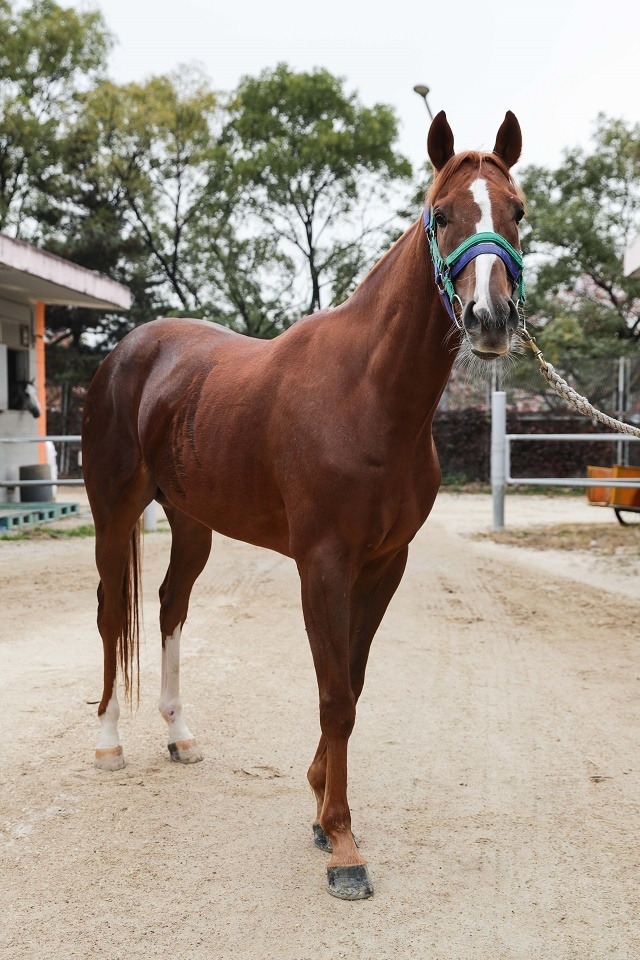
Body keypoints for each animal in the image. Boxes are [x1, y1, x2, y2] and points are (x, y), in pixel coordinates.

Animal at [81, 110, 524, 900]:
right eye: (442, 214)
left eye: (518, 212)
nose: (490, 318)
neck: (366, 395)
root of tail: (126, 354)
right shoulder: (322, 564)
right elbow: (335, 694)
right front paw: (343, 844)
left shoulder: (384, 564)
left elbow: (354, 680)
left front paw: (320, 804)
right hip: (114, 512)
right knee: (111, 615)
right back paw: (109, 744)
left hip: (192, 523)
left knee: (168, 606)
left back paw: (179, 735)